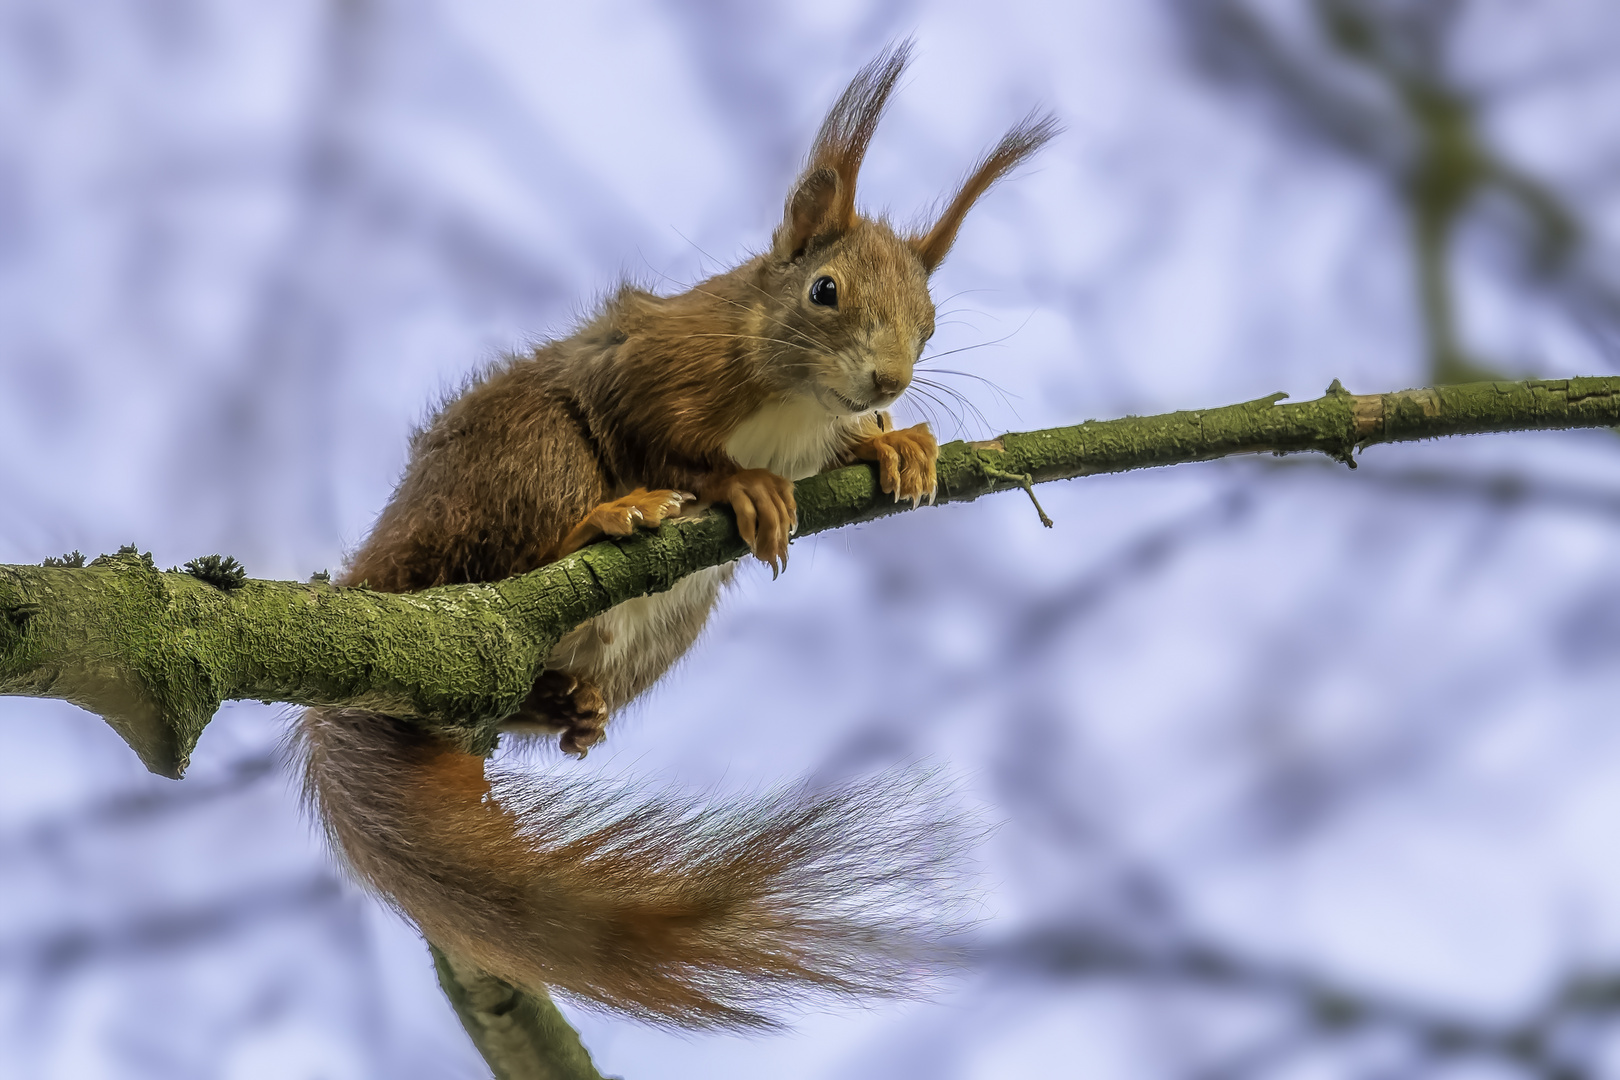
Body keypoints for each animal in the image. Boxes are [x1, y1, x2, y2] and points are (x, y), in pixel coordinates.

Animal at [294, 46, 1049, 1029]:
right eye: (825, 291)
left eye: (930, 322)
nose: (889, 380)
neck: (793, 398)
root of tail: (379, 586)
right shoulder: (649, 362)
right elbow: (663, 437)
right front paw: (746, 485)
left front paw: (895, 444)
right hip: (524, 461)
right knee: (510, 564)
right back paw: (611, 518)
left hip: (658, 630)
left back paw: (568, 706)